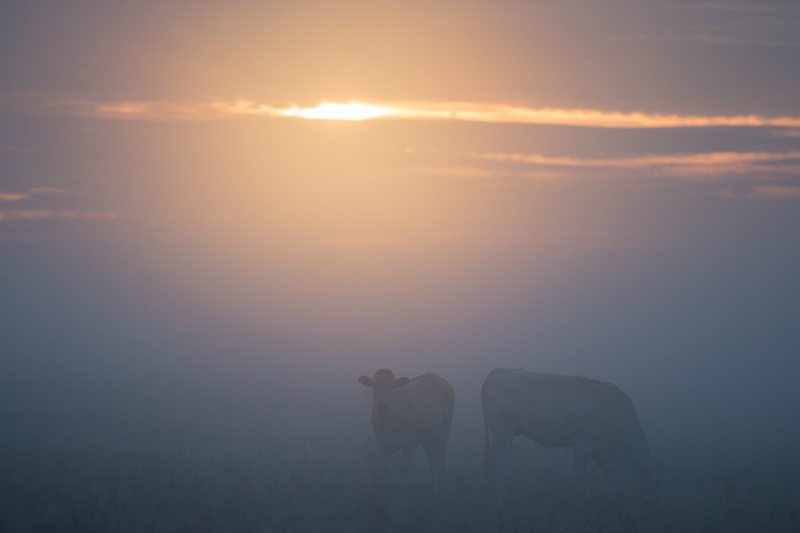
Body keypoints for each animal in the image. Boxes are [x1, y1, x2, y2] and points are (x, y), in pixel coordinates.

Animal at [482, 366, 656, 490]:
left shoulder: (601, 450)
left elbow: (610, 473)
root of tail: (501, 372)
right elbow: (579, 474)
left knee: (492, 461)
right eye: (649, 478)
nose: (651, 497)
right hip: (504, 433)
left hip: (499, 435)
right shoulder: (583, 444)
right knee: (504, 465)